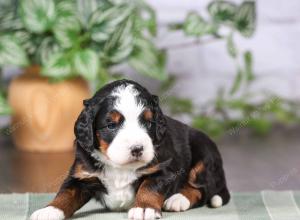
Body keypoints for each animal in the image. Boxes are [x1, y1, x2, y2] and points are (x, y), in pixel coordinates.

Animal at [30, 79, 230, 220]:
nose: (137, 149)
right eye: (111, 125)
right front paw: (49, 210)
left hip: (204, 153)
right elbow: (66, 193)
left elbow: (149, 187)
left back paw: (177, 199)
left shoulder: (163, 169)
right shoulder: (81, 174)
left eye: (148, 122)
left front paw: (144, 208)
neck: (120, 166)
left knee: (202, 190)